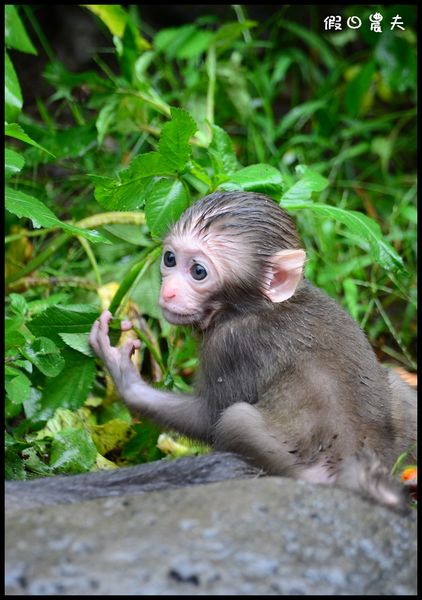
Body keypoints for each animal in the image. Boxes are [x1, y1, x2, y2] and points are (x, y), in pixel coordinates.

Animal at [89, 191, 416, 510]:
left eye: (198, 271)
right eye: (170, 258)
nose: (168, 292)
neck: (258, 306)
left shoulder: (229, 345)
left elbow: (207, 418)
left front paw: (123, 376)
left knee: (236, 419)